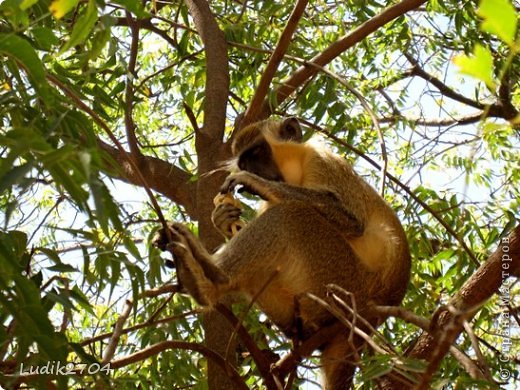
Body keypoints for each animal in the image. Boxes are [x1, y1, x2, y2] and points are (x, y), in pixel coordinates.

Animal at [152, 117, 412, 388]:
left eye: (257, 153)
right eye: (246, 161)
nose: (255, 172)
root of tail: (369, 318)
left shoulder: (324, 160)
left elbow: (351, 220)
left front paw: (255, 182)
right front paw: (222, 219)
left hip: (342, 281)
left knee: (290, 214)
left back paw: (211, 280)